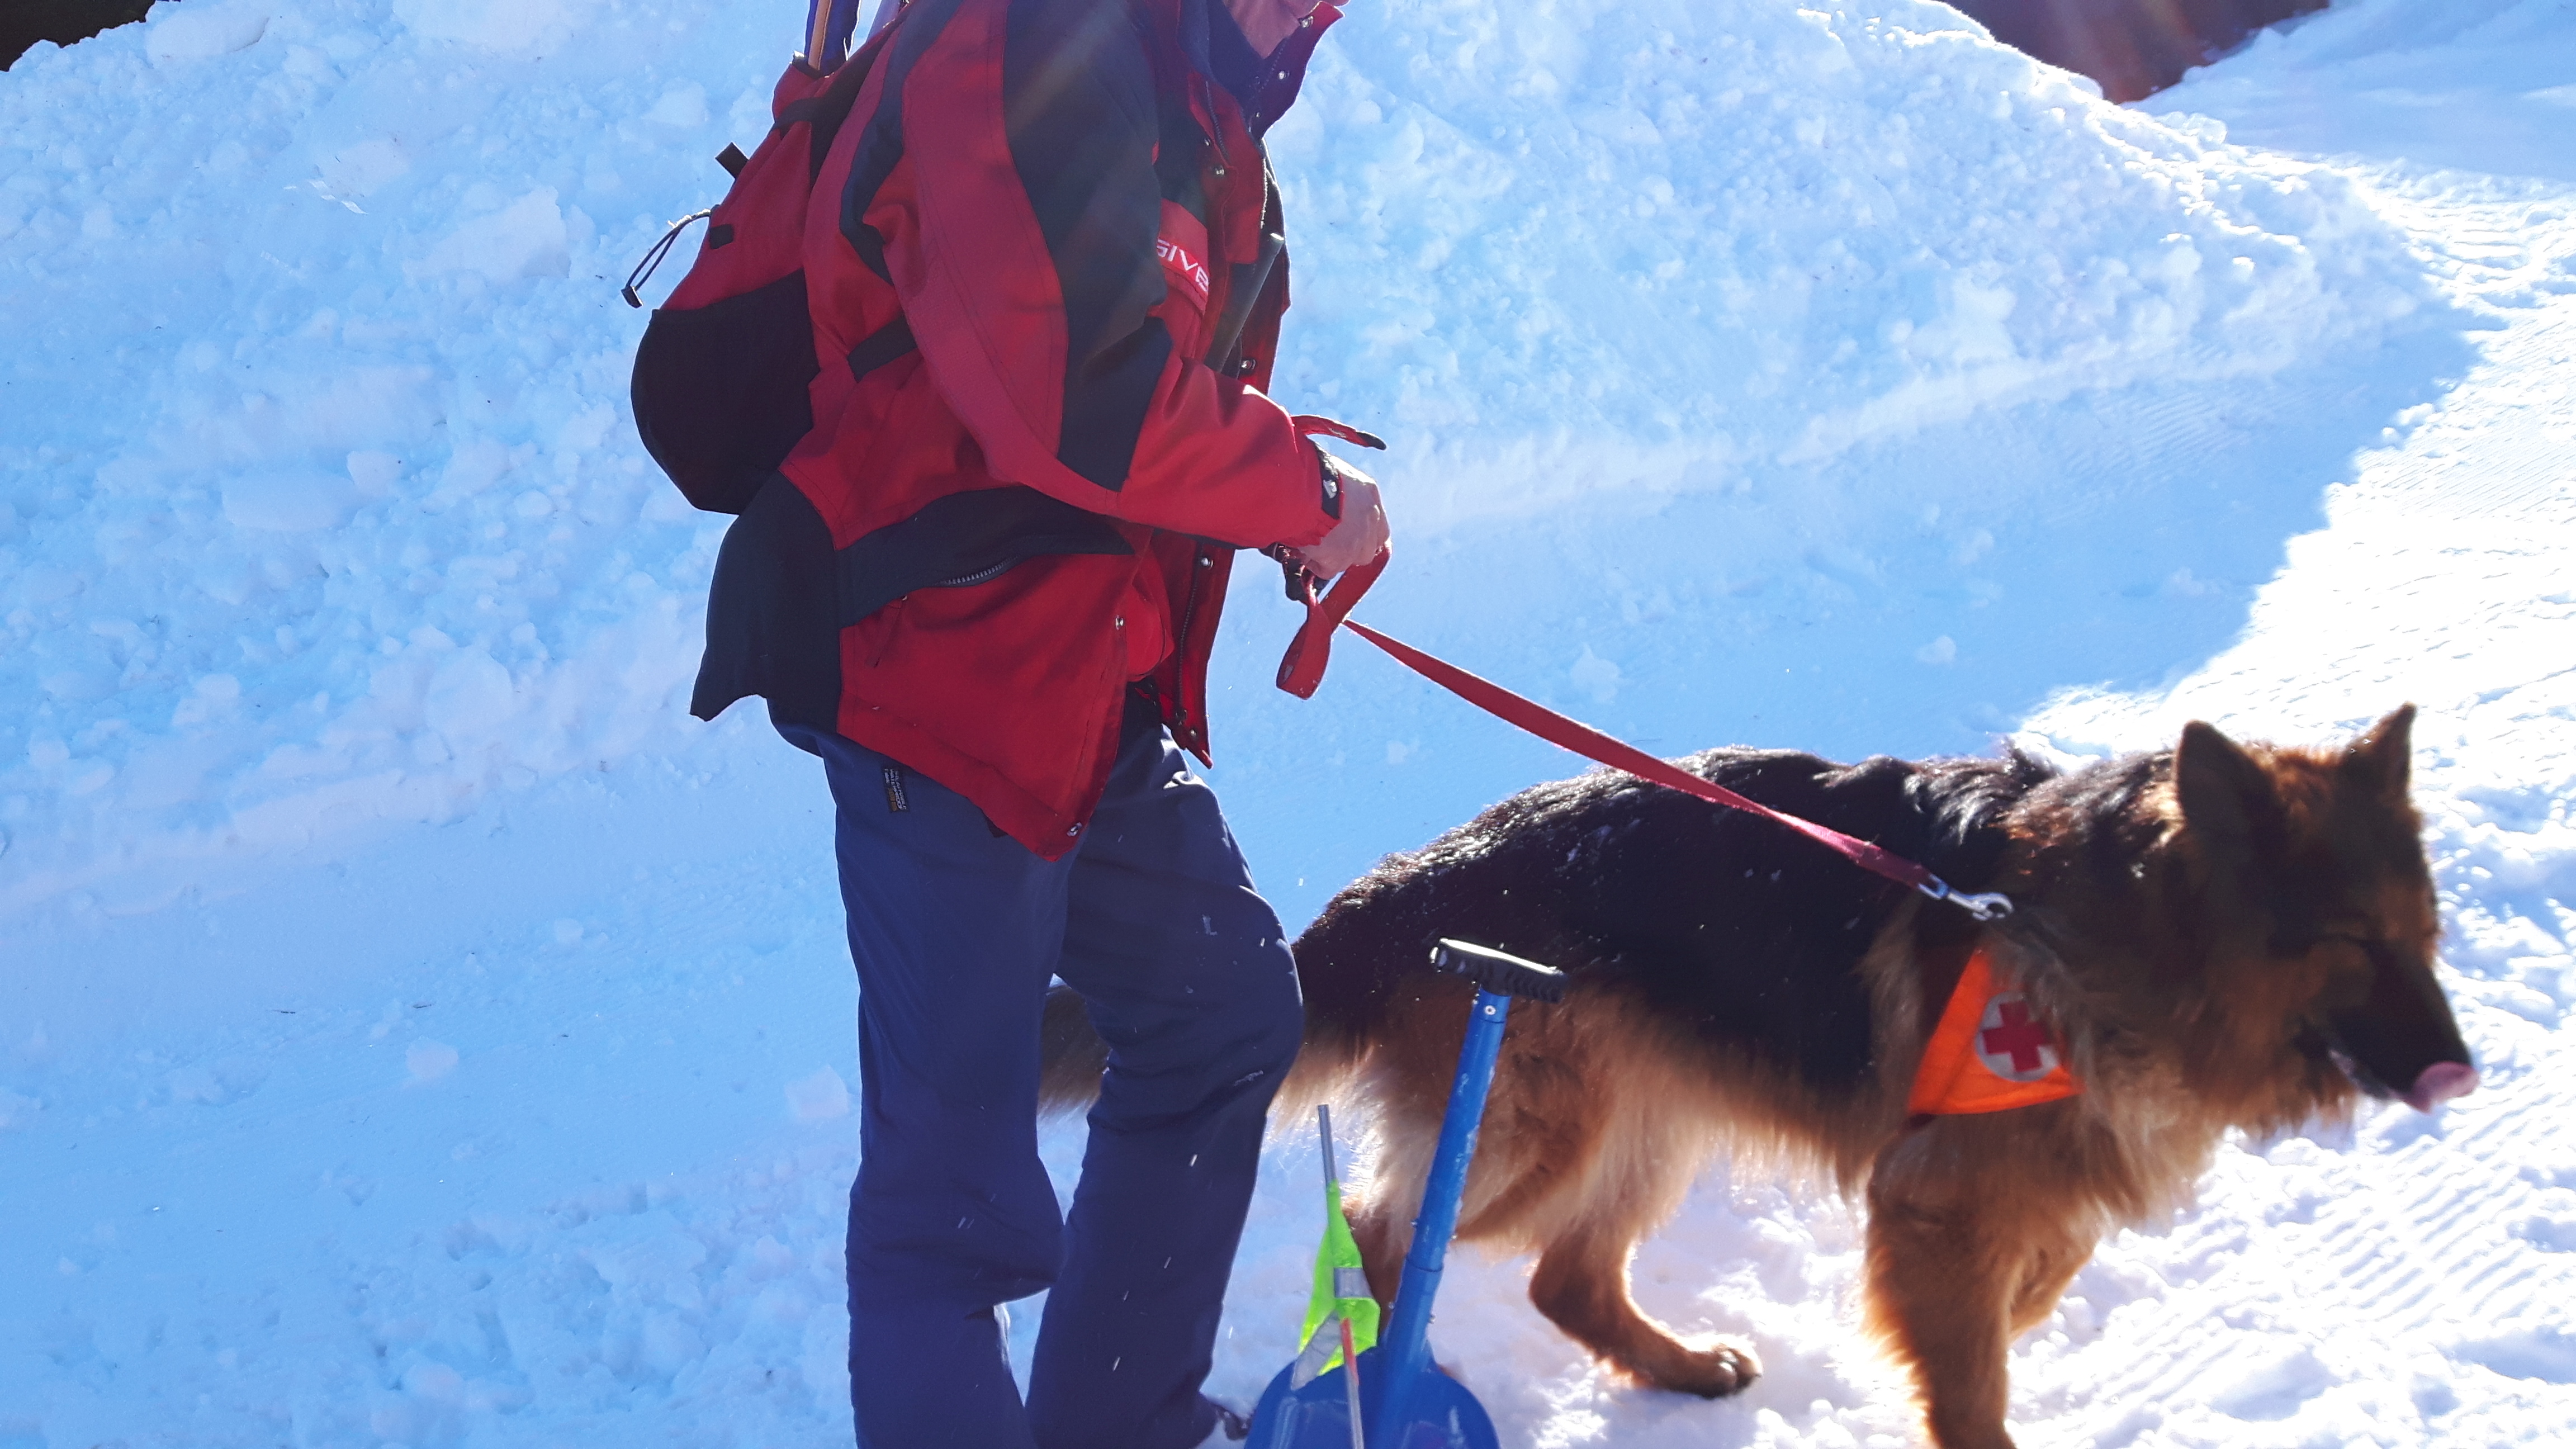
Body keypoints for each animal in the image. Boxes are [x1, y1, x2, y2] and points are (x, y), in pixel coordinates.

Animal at [1040, 706, 2473, 1433]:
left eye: (2423, 934)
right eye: (2352, 943)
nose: (2460, 1074)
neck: (2103, 921)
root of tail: (1409, 883)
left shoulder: (2004, 1194)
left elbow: (2032, 1286)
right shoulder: (1938, 1201)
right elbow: (1974, 1372)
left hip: (1651, 1119)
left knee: (1565, 1278)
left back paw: (1675, 1370)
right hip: (1536, 1126)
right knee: (1393, 1234)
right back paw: (1387, 1388)